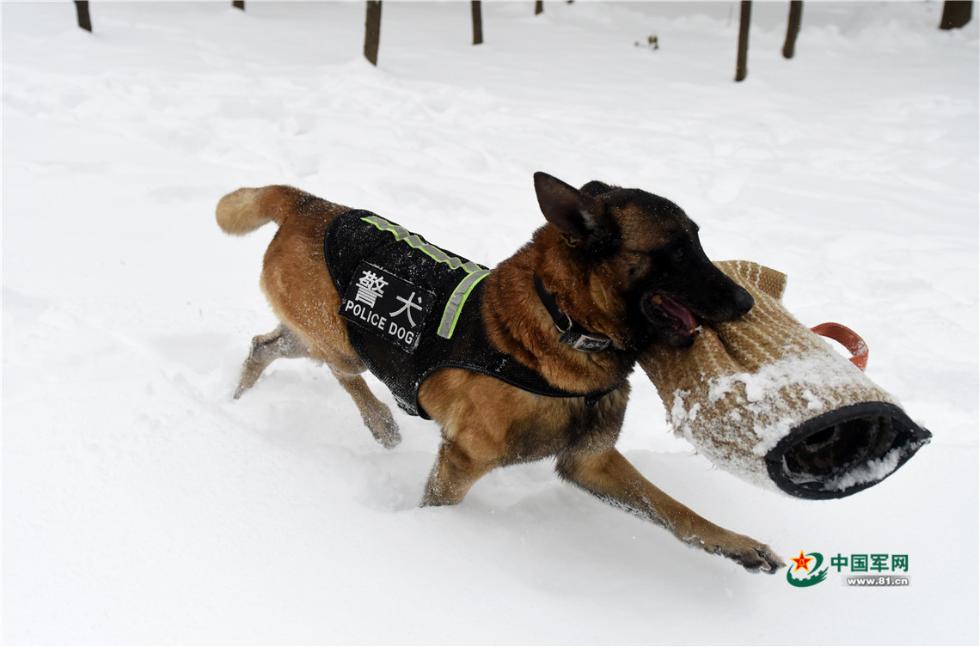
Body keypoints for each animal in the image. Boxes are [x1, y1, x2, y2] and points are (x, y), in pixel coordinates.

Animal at [220, 171, 780, 572]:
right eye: (678, 252)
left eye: (697, 242)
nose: (747, 301)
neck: (564, 321)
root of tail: (310, 204)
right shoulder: (462, 461)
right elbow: (436, 508)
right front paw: (424, 543)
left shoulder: (591, 463)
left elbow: (676, 511)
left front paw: (737, 544)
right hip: (344, 341)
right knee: (342, 372)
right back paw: (380, 422)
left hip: (315, 333)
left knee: (263, 347)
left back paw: (236, 399)